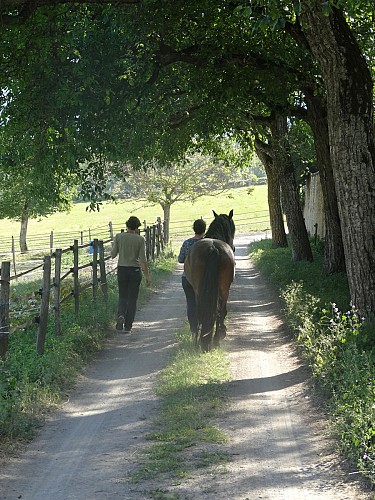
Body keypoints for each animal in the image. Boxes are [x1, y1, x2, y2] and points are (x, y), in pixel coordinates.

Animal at [184, 210, 235, 352]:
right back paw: (215, 338)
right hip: (223, 290)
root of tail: (213, 248)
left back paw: (201, 340)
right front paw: (222, 331)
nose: (234, 247)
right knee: (219, 311)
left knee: (201, 311)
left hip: (200, 291)